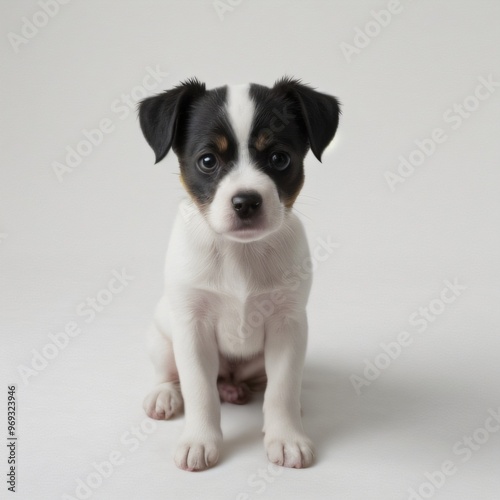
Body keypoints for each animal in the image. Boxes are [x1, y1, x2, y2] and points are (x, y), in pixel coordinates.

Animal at [137, 76, 340, 470]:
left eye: (279, 158)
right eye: (207, 161)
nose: (246, 202)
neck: (239, 253)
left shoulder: (287, 327)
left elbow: (281, 389)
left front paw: (286, 436)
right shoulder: (193, 328)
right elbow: (199, 390)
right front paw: (199, 440)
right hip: (162, 340)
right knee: (169, 375)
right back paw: (165, 396)